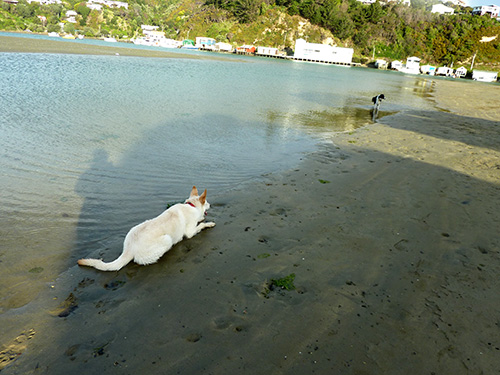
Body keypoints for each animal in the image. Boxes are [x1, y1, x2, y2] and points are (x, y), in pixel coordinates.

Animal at [77, 187, 214, 272]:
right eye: (207, 202)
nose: (211, 205)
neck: (192, 205)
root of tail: (129, 248)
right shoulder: (190, 232)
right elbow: (200, 225)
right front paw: (208, 223)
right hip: (167, 239)